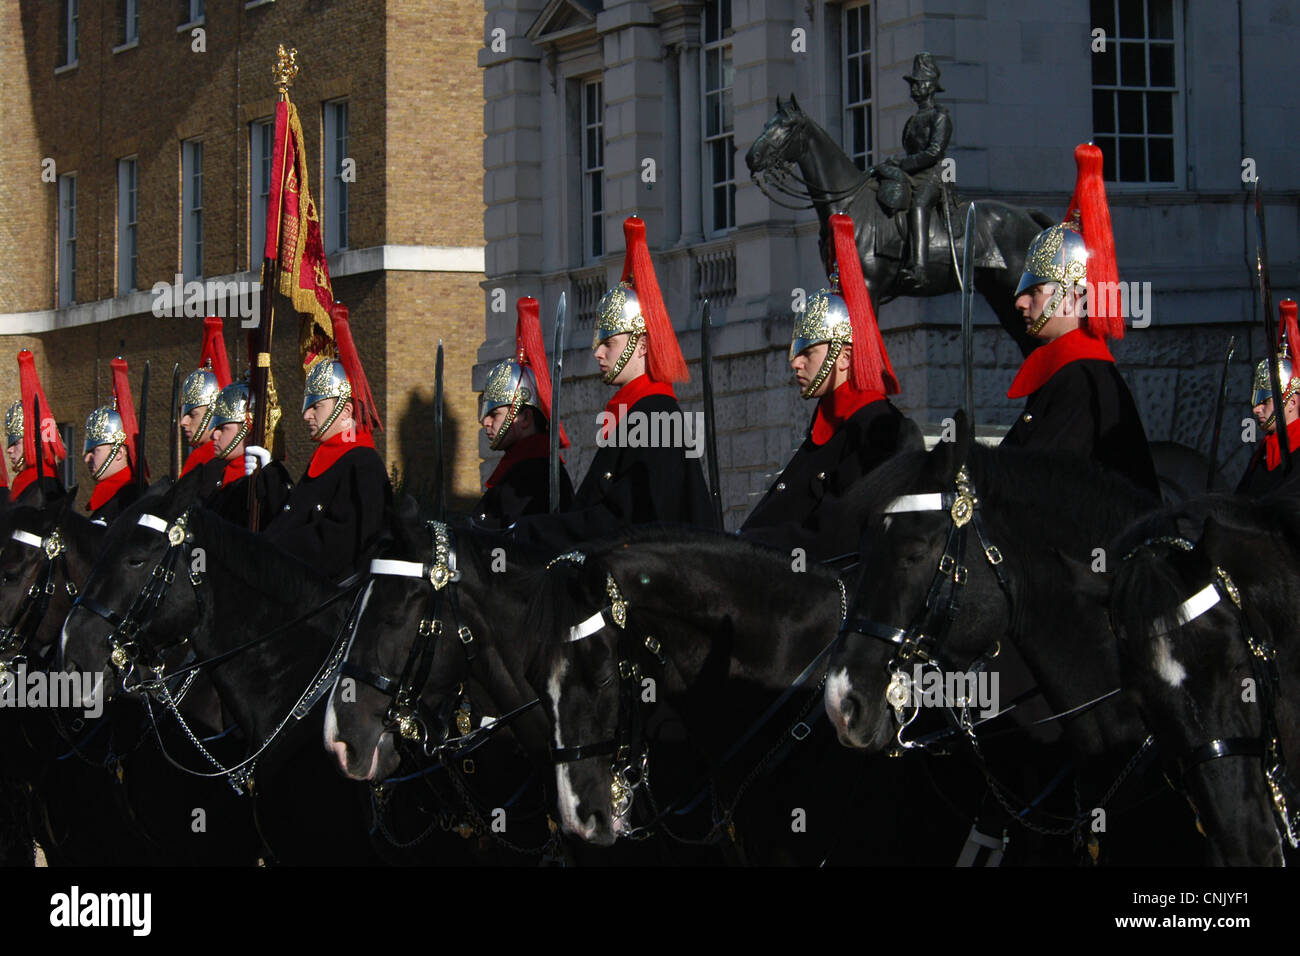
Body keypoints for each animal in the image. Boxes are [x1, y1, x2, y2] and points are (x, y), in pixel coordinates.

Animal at [748, 95, 1050, 356]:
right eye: (766, 124)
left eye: (788, 126)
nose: (751, 158)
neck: (848, 205)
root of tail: (1025, 214)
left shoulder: (869, 288)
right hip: (999, 294)